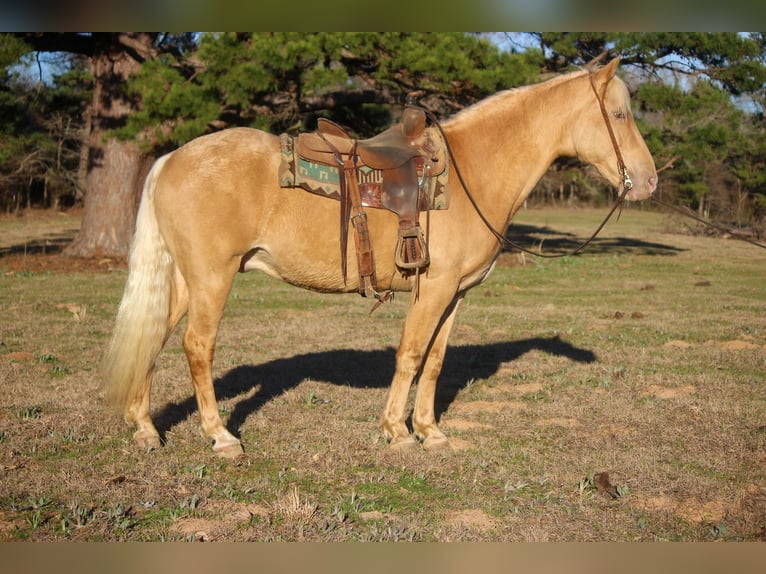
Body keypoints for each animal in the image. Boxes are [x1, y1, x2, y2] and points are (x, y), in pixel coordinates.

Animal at [103, 57, 660, 460]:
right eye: (619, 115)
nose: (649, 180)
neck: (472, 172)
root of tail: (172, 157)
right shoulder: (433, 289)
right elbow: (410, 355)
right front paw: (398, 431)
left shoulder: (455, 294)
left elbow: (434, 361)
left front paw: (431, 431)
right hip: (212, 279)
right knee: (197, 346)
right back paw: (221, 436)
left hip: (184, 281)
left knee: (154, 336)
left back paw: (146, 428)